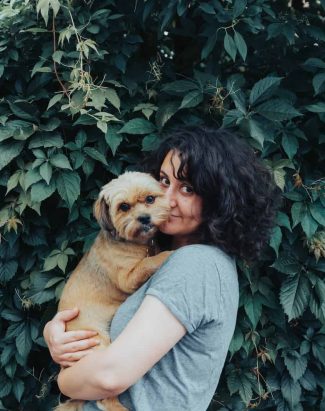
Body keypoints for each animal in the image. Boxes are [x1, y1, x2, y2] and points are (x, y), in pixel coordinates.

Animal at [55, 171, 172, 411]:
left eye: (150, 199)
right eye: (124, 206)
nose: (144, 218)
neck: (136, 243)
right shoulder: (128, 278)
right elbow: (150, 262)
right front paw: (170, 253)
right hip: (98, 344)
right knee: (103, 399)